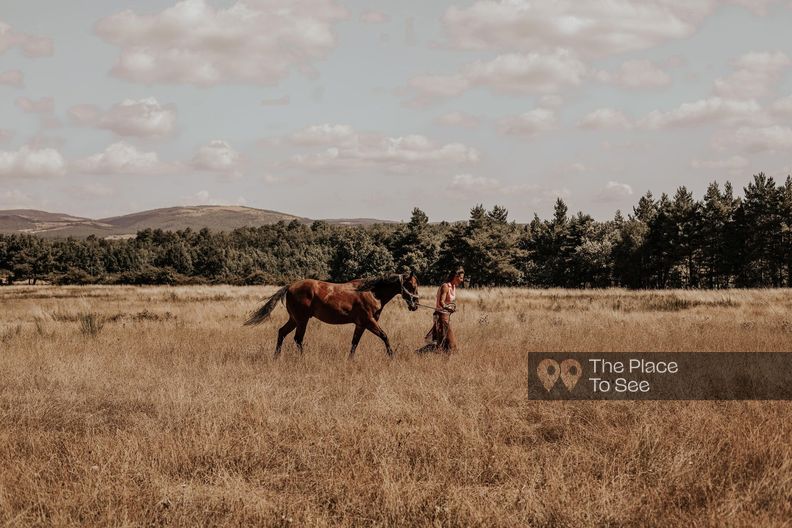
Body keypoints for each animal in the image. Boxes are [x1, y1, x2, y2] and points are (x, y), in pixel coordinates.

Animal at [244, 272, 420, 358]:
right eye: (411, 285)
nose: (415, 304)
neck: (371, 292)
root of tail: (290, 286)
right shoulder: (369, 322)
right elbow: (384, 336)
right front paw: (392, 356)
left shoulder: (360, 324)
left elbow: (354, 342)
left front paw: (350, 359)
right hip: (302, 320)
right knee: (298, 339)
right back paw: (303, 359)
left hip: (294, 320)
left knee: (282, 332)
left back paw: (276, 356)